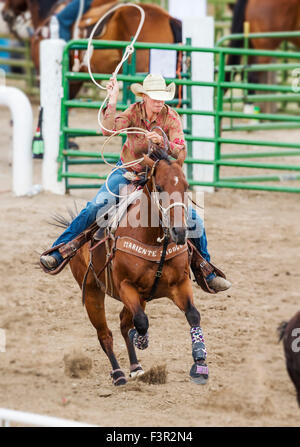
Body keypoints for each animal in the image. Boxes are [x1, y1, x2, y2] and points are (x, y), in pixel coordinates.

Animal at [68, 149, 209, 386]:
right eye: (159, 187)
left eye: (186, 186)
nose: (180, 232)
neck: (155, 240)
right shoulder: (125, 286)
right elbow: (141, 321)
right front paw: (142, 340)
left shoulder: (180, 284)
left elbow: (193, 315)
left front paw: (200, 364)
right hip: (92, 292)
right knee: (105, 334)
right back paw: (118, 374)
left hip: (139, 297)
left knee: (124, 325)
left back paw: (136, 367)